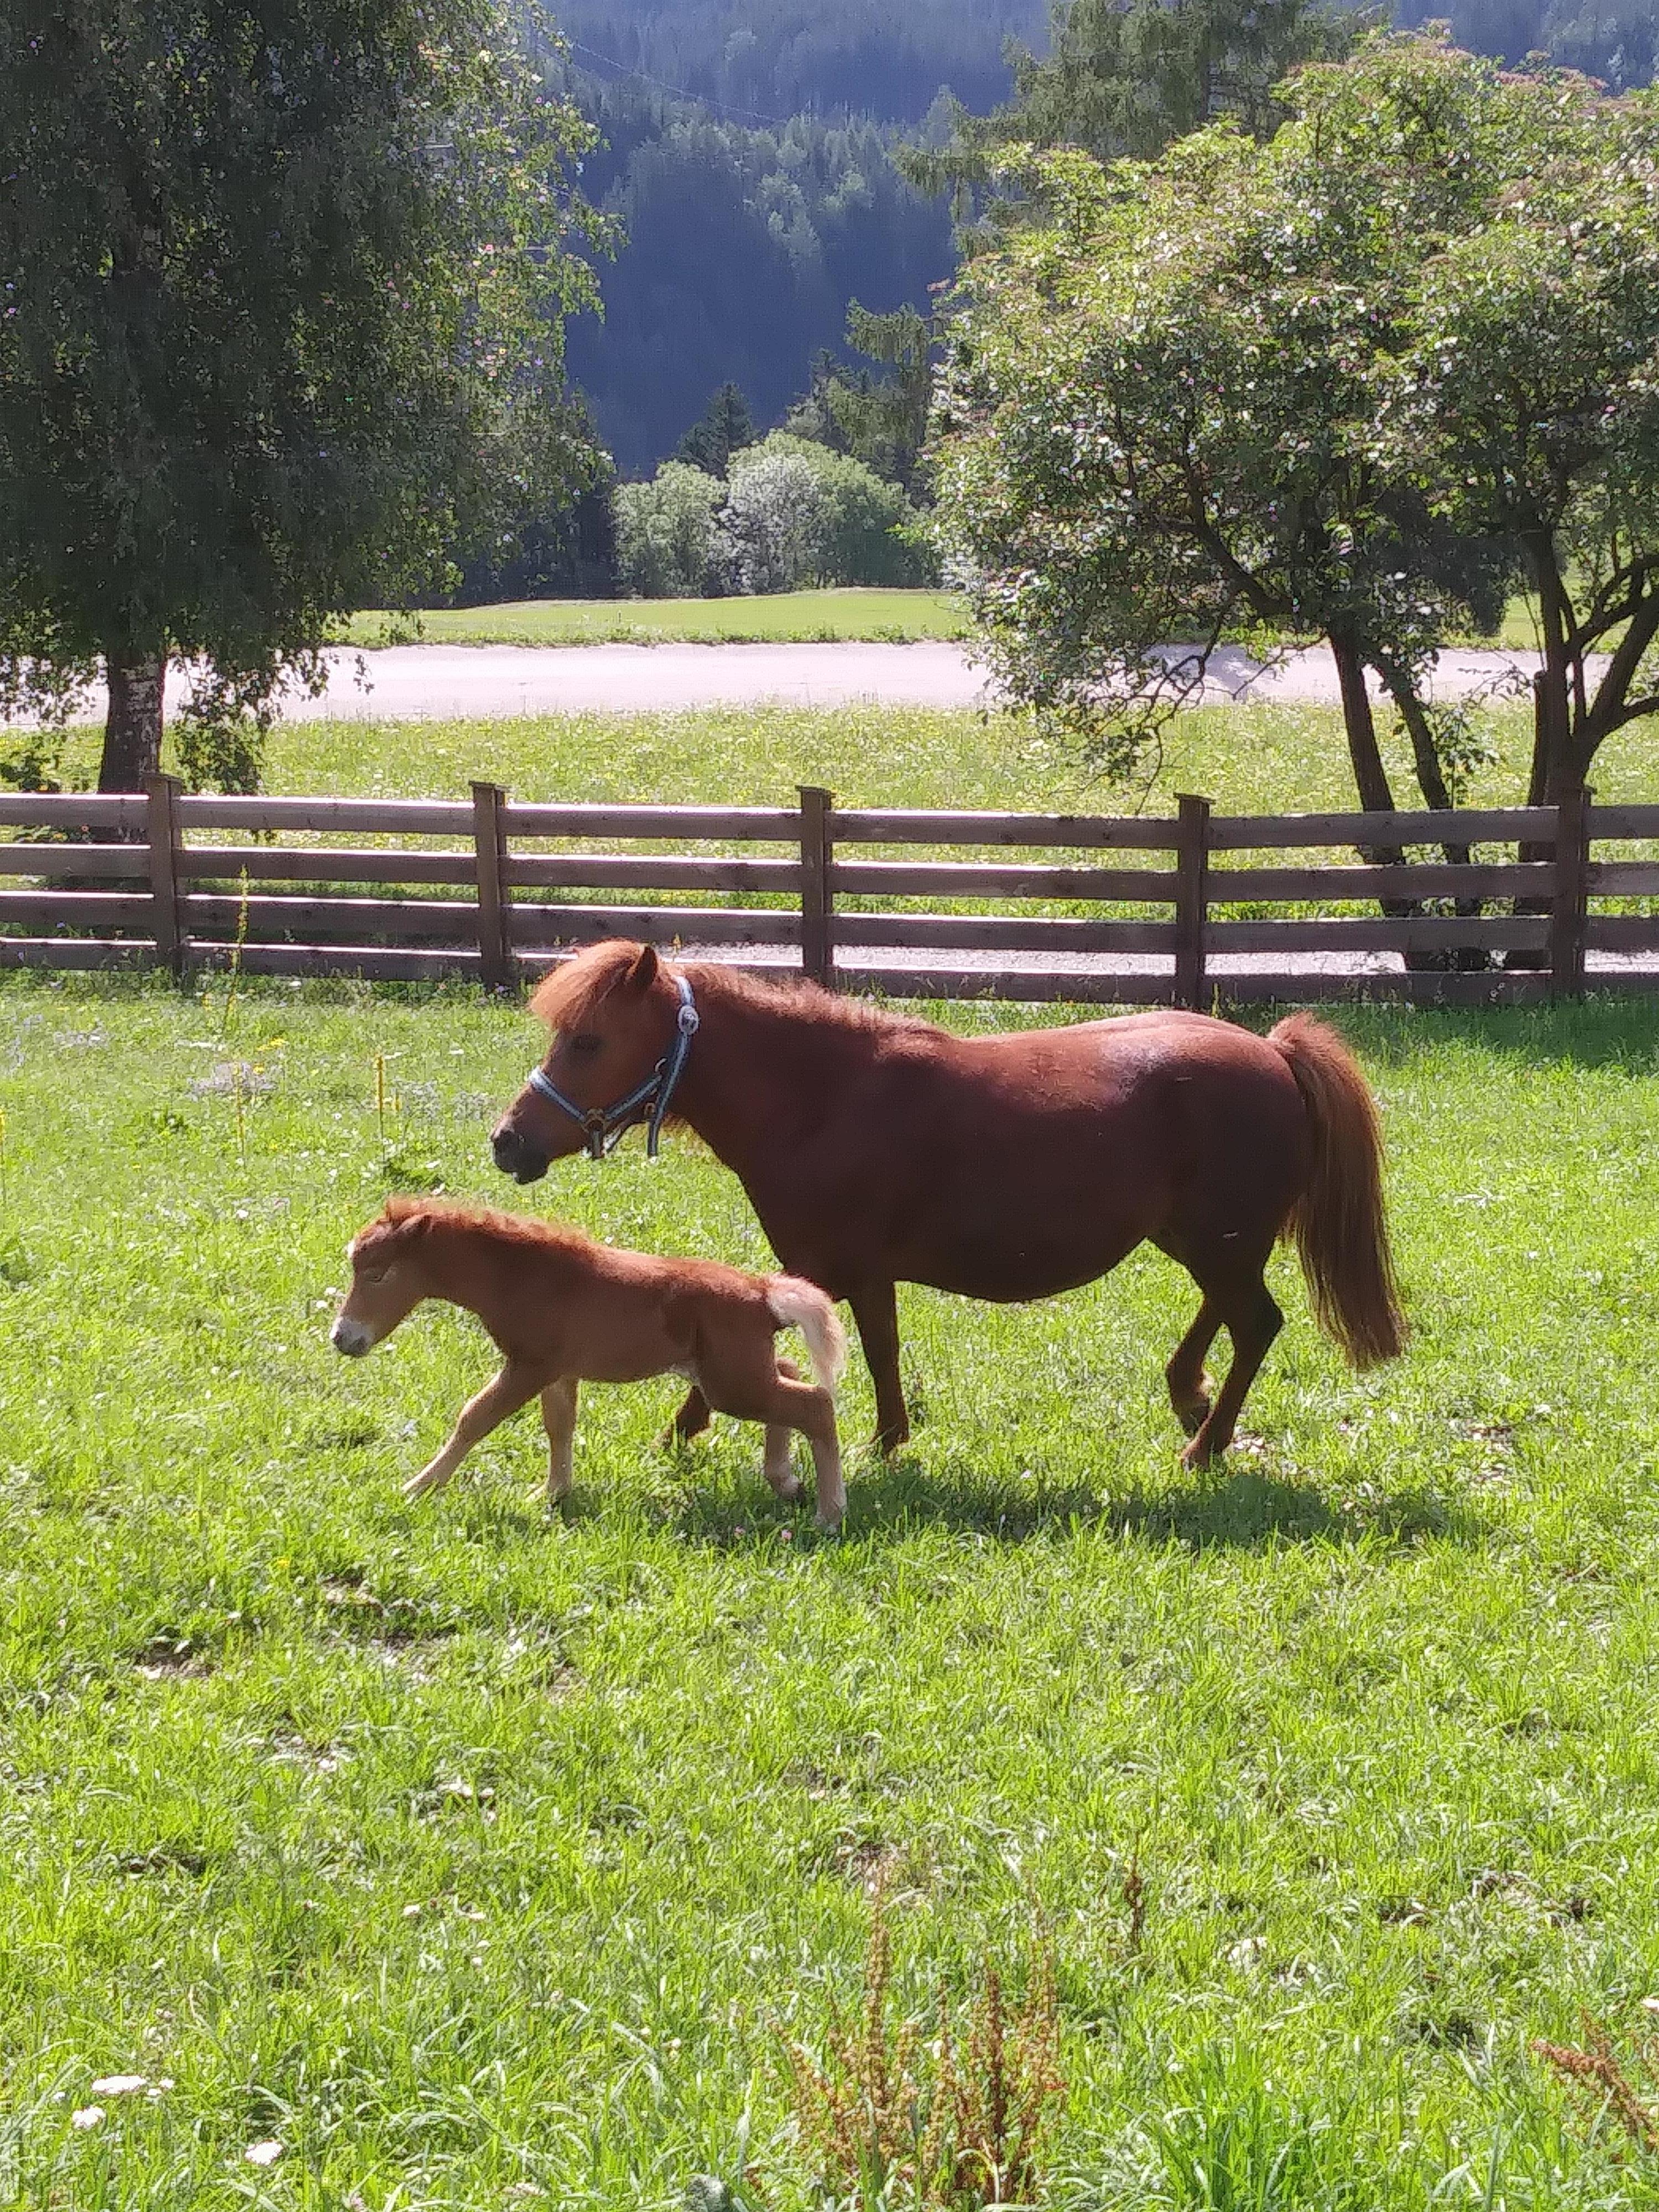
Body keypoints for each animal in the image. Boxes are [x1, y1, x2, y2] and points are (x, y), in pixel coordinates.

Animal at [330, 1197, 848, 1525]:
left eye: (376, 1274)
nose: (344, 1339)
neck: (523, 1276)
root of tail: (763, 1294)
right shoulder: (559, 1371)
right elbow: (559, 1425)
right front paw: (551, 1494)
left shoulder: (530, 1365)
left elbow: (475, 1417)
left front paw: (418, 1488)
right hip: (738, 1372)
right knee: (792, 1375)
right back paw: (786, 1481)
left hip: (732, 1384)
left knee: (814, 1404)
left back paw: (829, 1513)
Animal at [488, 942, 1406, 1466]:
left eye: (588, 1040)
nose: (509, 1142)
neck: (822, 1097)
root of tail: (1275, 1052)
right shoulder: (850, 1272)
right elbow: (871, 1351)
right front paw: (887, 1441)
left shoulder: (831, 1266)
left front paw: (690, 1434)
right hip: (1199, 1239)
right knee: (1229, 1314)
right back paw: (1189, 1395)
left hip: (1220, 1241)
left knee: (1256, 1324)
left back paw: (1202, 1447)